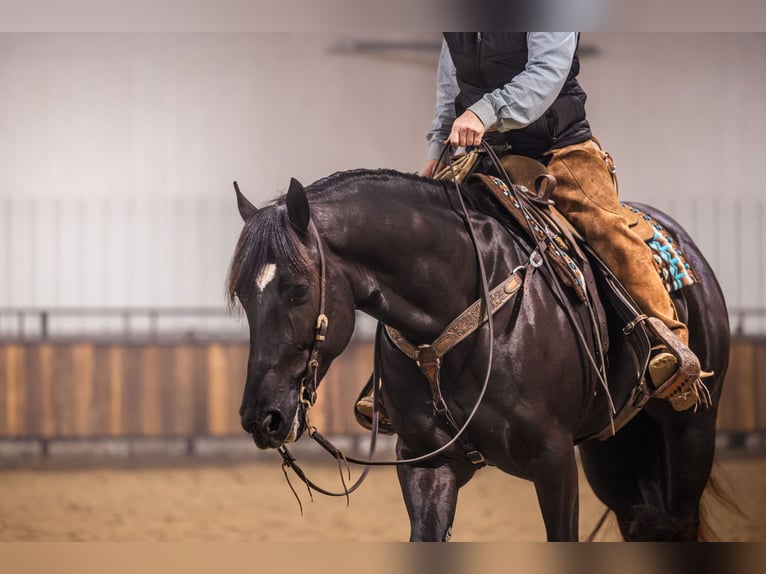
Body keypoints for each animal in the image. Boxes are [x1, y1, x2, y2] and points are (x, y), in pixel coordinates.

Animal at [227, 168, 730, 541]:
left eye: (296, 290)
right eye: (243, 296)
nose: (260, 417)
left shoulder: (554, 460)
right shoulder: (427, 463)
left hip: (691, 431)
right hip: (612, 449)